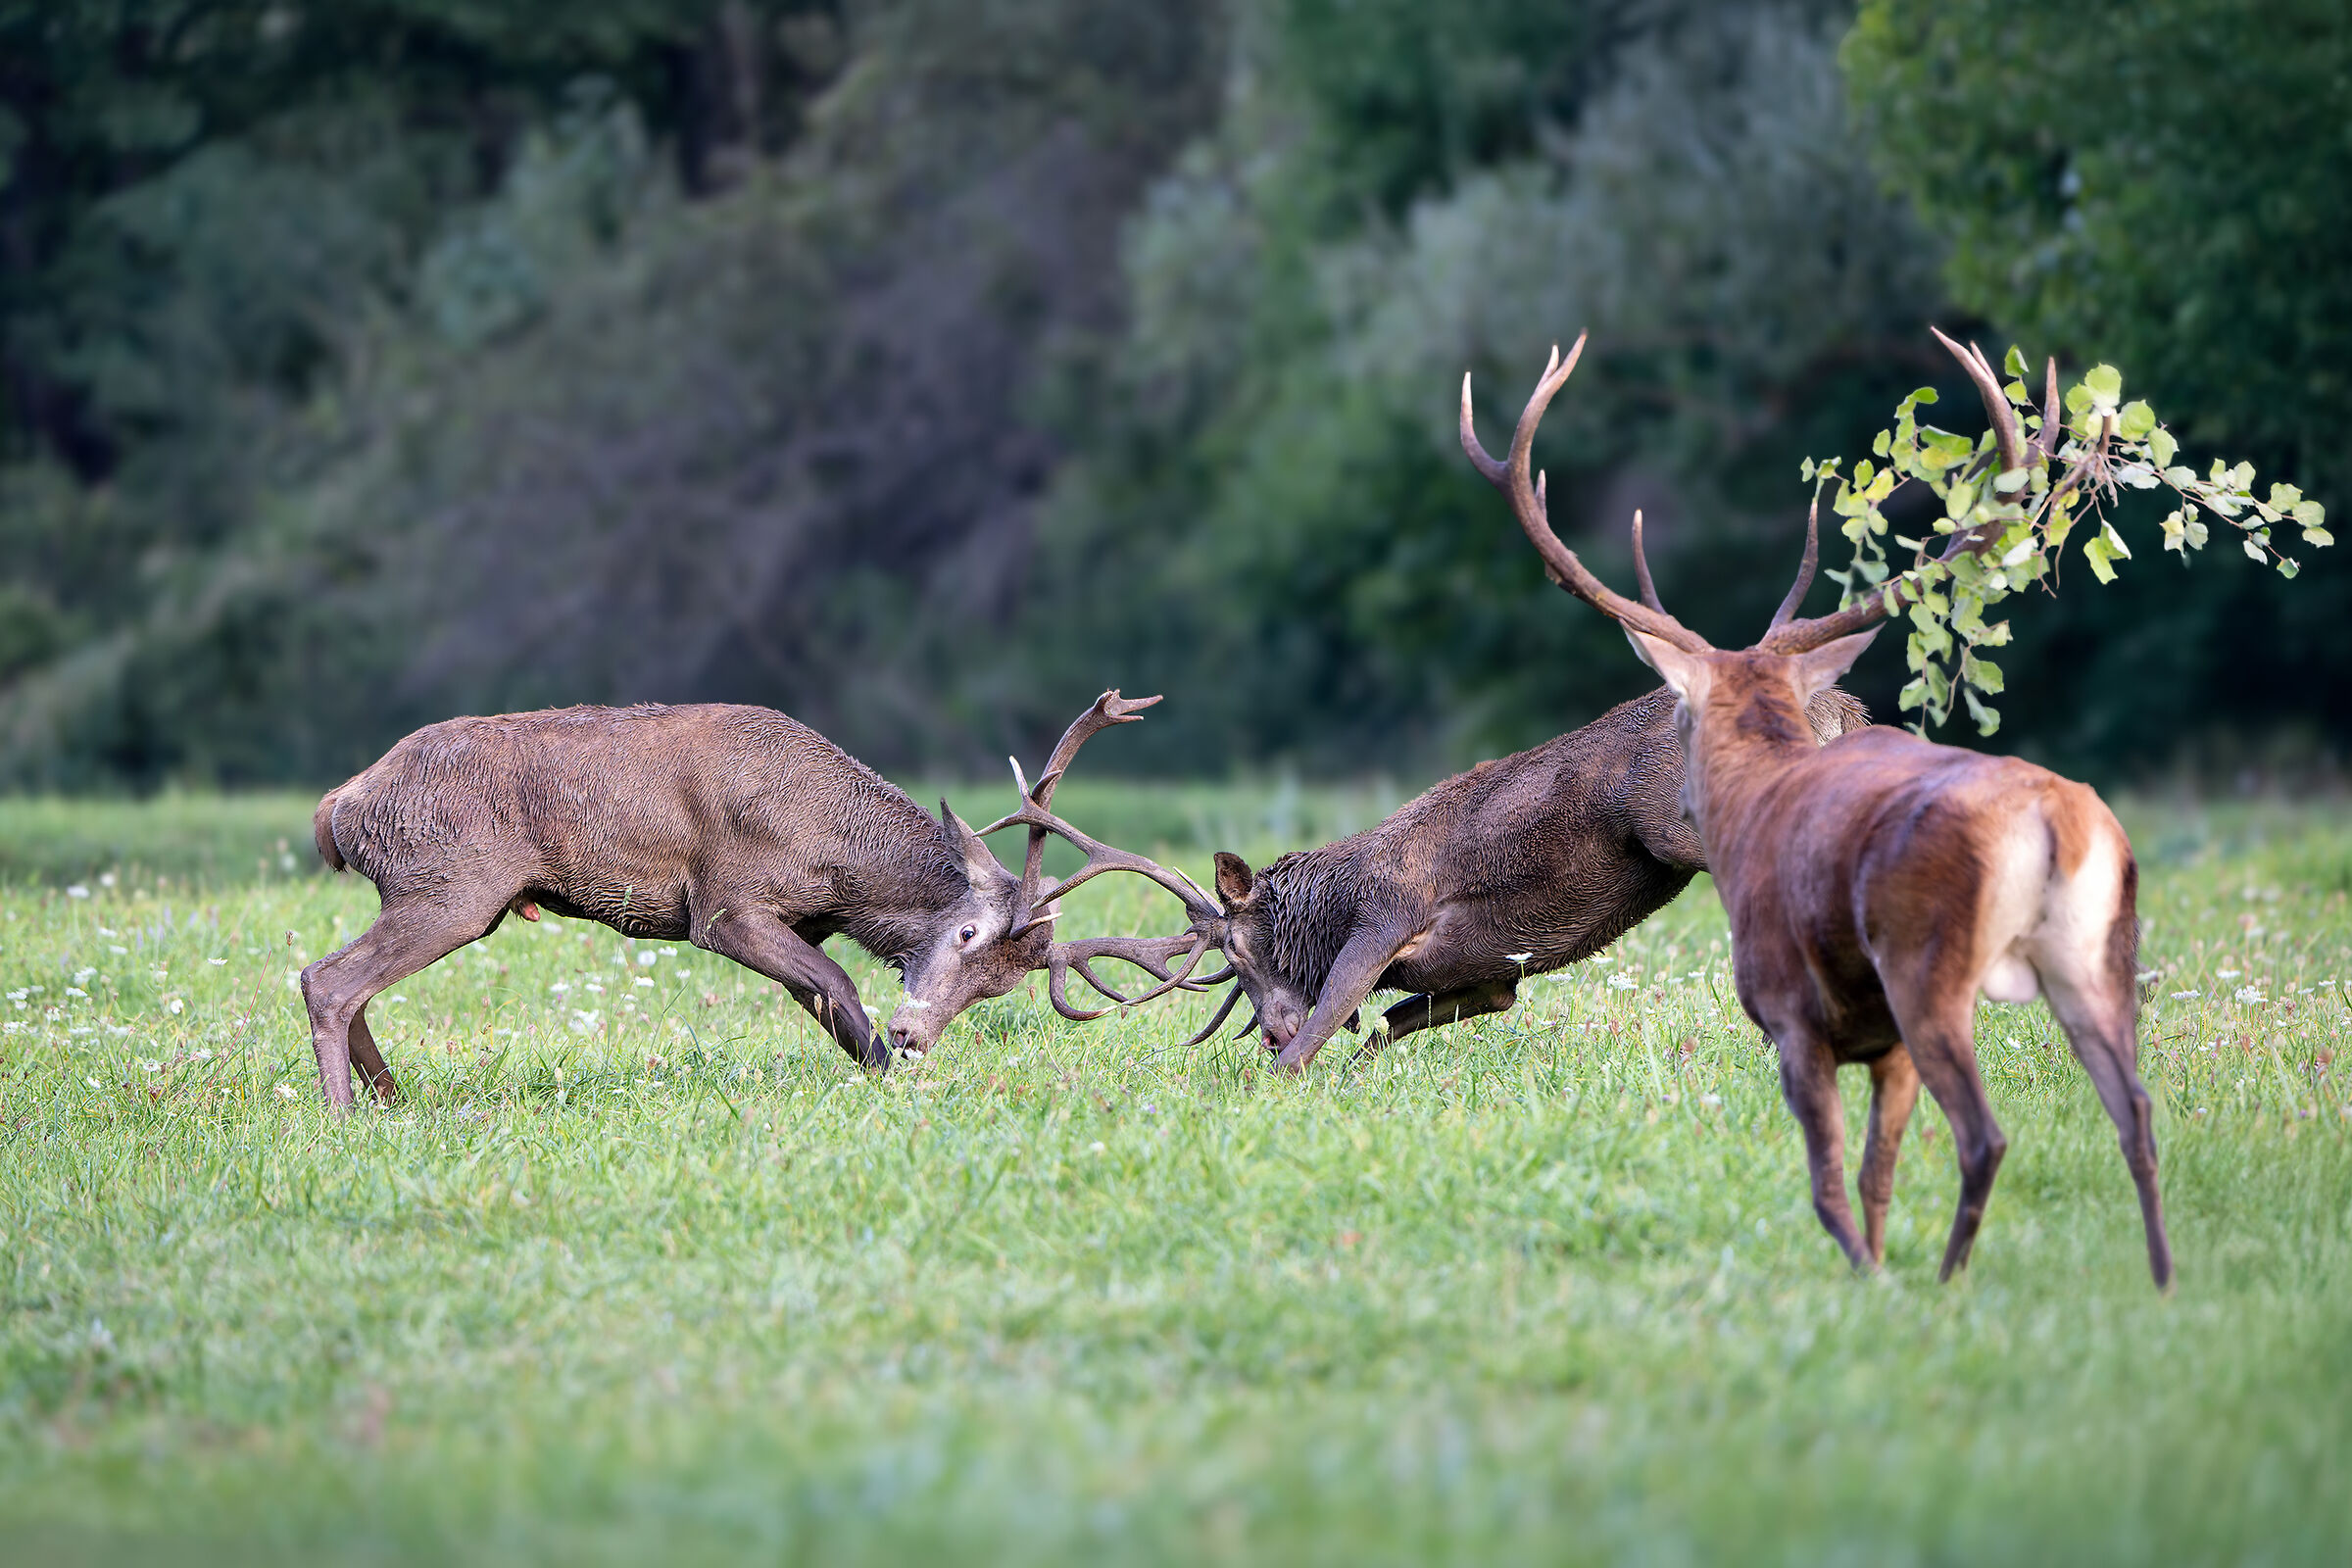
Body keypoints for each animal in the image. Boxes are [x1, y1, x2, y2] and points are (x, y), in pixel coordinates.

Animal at [301, 691, 1217, 1111]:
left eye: (1000, 986)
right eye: (964, 932)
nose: (916, 1034)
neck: (834, 864)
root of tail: (340, 805)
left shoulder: (800, 922)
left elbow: (831, 1006)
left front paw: (887, 1075)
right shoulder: (724, 905)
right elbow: (839, 985)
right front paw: (891, 1075)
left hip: (450, 893)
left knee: (349, 985)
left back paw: (391, 1102)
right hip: (452, 882)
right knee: (327, 979)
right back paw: (349, 1117)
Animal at [1463, 329, 2172, 1288]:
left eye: (1679, 720)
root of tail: (2055, 825)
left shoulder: (1789, 1007)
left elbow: (1830, 1182)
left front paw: (1867, 1277)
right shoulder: (1882, 1047)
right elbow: (1876, 1177)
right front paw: (1875, 1262)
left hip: (1928, 965)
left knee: (1985, 1136)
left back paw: (1946, 1283)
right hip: (2098, 956)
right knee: (2136, 1114)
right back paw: (2160, 1282)